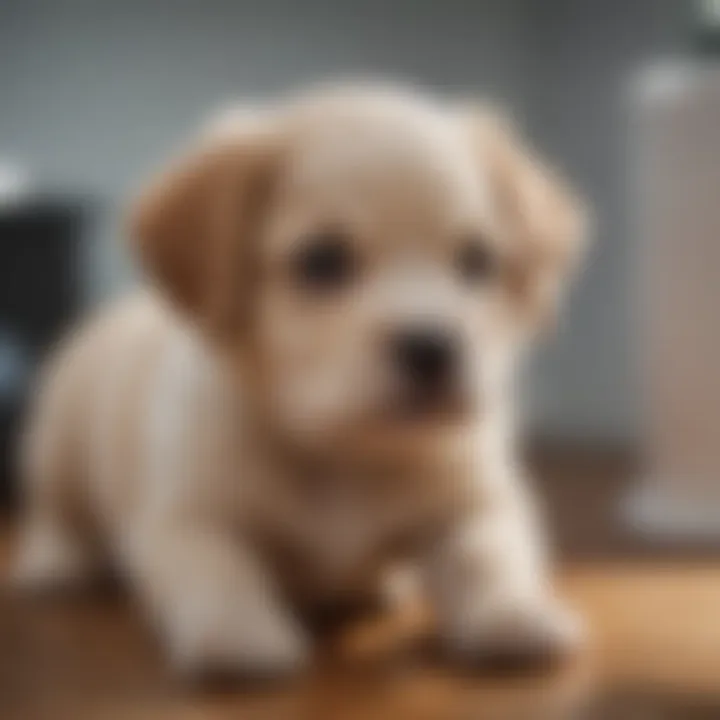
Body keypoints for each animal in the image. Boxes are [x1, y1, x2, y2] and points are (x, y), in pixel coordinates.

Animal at [12, 83, 584, 676]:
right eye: (322, 260)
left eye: (477, 260)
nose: (432, 347)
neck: (342, 453)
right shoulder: (187, 520)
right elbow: (220, 573)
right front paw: (239, 637)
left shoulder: (477, 502)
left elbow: (490, 557)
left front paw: (513, 615)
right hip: (57, 449)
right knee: (57, 512)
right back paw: (55, 563)